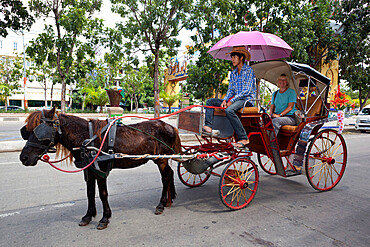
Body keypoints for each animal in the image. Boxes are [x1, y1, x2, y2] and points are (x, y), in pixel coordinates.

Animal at [19, 108, 181, 230]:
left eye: (39, 131)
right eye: (27, 131)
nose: (23, 158)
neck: (87, 139)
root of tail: (170, 127)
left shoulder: (100, 170)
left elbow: (103, 194)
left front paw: (104, 218)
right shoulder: (89, 170)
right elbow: (90, 193)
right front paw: (88, 216)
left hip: (161, 159)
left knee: (165, 178)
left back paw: (161, 204)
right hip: (162, 159)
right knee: (170, 173)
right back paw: (170, 198)